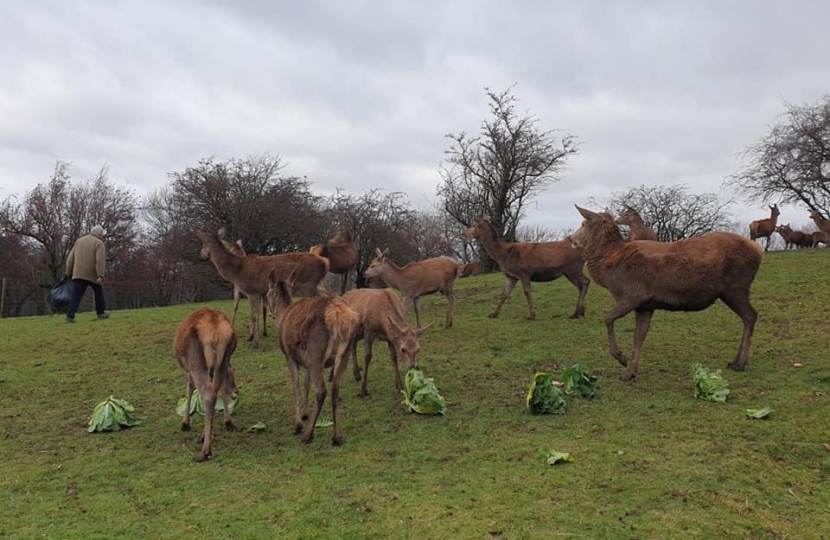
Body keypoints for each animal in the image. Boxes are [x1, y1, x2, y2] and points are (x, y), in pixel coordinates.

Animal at [174, 306, 239, 462]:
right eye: (231, 373)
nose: (236, 391)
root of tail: (216, 333)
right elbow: (221, 390)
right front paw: (227, 421)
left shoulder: (188, 371)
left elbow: (189, 390)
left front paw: (185, 423)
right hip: (222, 361)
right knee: (215, 391)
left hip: (196, 364)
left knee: (208, 395)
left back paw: (205, 451)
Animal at [197, 229, 330, 348]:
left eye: (204, 243)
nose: (201, 254)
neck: (237, 272)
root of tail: (325, 262)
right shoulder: (259, 292)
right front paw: (253, 337)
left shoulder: (252, 291)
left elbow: (254, 316)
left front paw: (254, 343)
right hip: (319, 284)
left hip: (308, 284)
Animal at [264, 272, 360, 446]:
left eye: (267, 293)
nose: (270, 313)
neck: (283, 316)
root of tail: (337, 314)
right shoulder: (307, 362)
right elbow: (306, 384)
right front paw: (304, 414)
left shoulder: (288, 355)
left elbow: (296, 386)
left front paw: (298, 424)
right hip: (345, 352)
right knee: (335, 389)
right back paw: (336, 437)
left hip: (317, 351)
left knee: (321, 390)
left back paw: (308, 434)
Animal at [462, 213, 592, 318]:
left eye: (473, 225)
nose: (463, 234)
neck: (502, 255)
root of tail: (583, 250)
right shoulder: (510, 276)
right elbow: (504, 294)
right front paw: (494, 314)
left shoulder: (523, 271)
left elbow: (527, 291)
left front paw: (531, 315)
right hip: (567, 272)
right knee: (580, 285)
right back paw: (580, 311)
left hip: (573, 268)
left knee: (586, 281)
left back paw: (577, 312)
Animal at [568, 205, 764, 382]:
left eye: (584, 223)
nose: (570, 238)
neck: (610, 269)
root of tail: (758, 250)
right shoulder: (645, 305)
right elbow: (638, 336)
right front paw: (630, 372)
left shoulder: (633, 294)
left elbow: (608, 319)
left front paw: (621, 358)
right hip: (730, 292)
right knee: (747, 317)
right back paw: (735, 361)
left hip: (736, 287)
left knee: (750, 315)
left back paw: (741, 363)